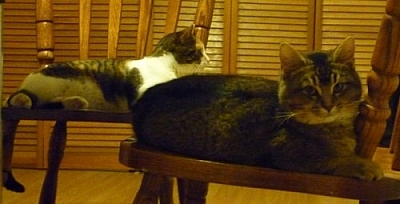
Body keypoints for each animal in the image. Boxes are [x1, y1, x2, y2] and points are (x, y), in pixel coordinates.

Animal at [3, 25, 209, 113]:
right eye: (200, 51)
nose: (208, 59)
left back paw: (76, 102)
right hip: (49, 84)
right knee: (26, 100)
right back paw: (24, 100)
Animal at [133, 36, 382, 180]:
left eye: (338, 86)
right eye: (310, 90)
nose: (329, 106)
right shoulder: (288, 154)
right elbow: (334, 160)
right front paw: (366, 166)